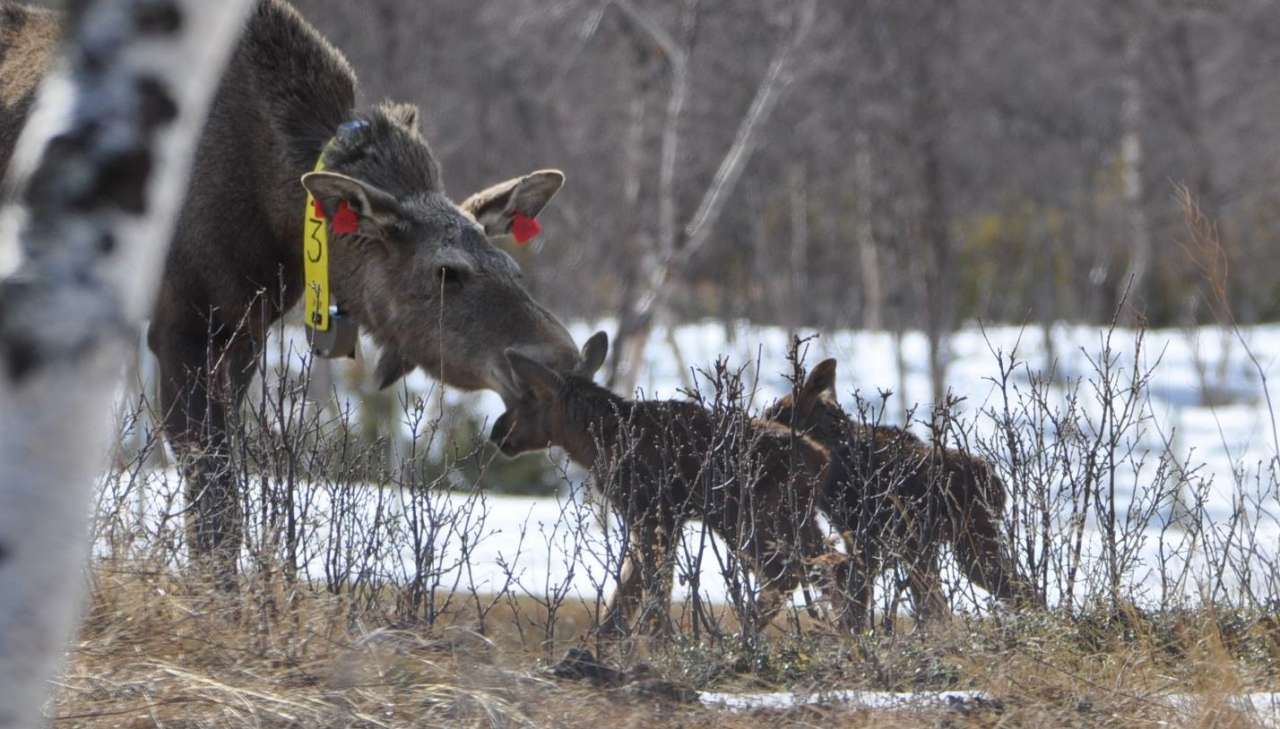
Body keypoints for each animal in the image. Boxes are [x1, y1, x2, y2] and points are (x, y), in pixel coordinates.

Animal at [0, 1, 581, 578]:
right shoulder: (179, 323)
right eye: (447, 271)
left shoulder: (243, 331)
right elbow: (213, 501)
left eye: (511, 265)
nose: (563, 356)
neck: (277, 211)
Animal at [488, 332, 839, 631]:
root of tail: (822, 460)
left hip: (750, 518)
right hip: (793, 519)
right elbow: (626, 598)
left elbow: (652, 594)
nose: (497, 431)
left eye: (527, 396)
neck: (600, 442)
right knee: (832, 564)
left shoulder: (654, 514)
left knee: (789, 573)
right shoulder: (653, 520)